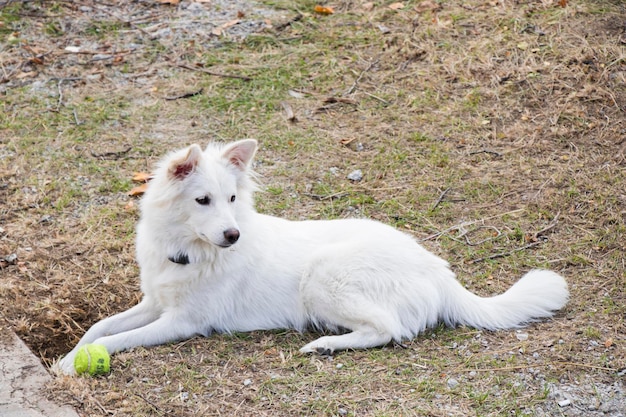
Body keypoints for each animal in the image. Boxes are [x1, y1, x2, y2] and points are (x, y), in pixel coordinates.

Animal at [56, 139, 568, 374]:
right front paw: (72, 352)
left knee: (389, 330)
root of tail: (438, 270)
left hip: (324, 277)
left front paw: (70, 363)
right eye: (204, 201)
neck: (189, 252)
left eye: (232, 199)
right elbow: (99, 327)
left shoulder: (182, 322)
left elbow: (118, 340)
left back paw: (325, 344)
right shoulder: (154, 303)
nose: (233, 235)